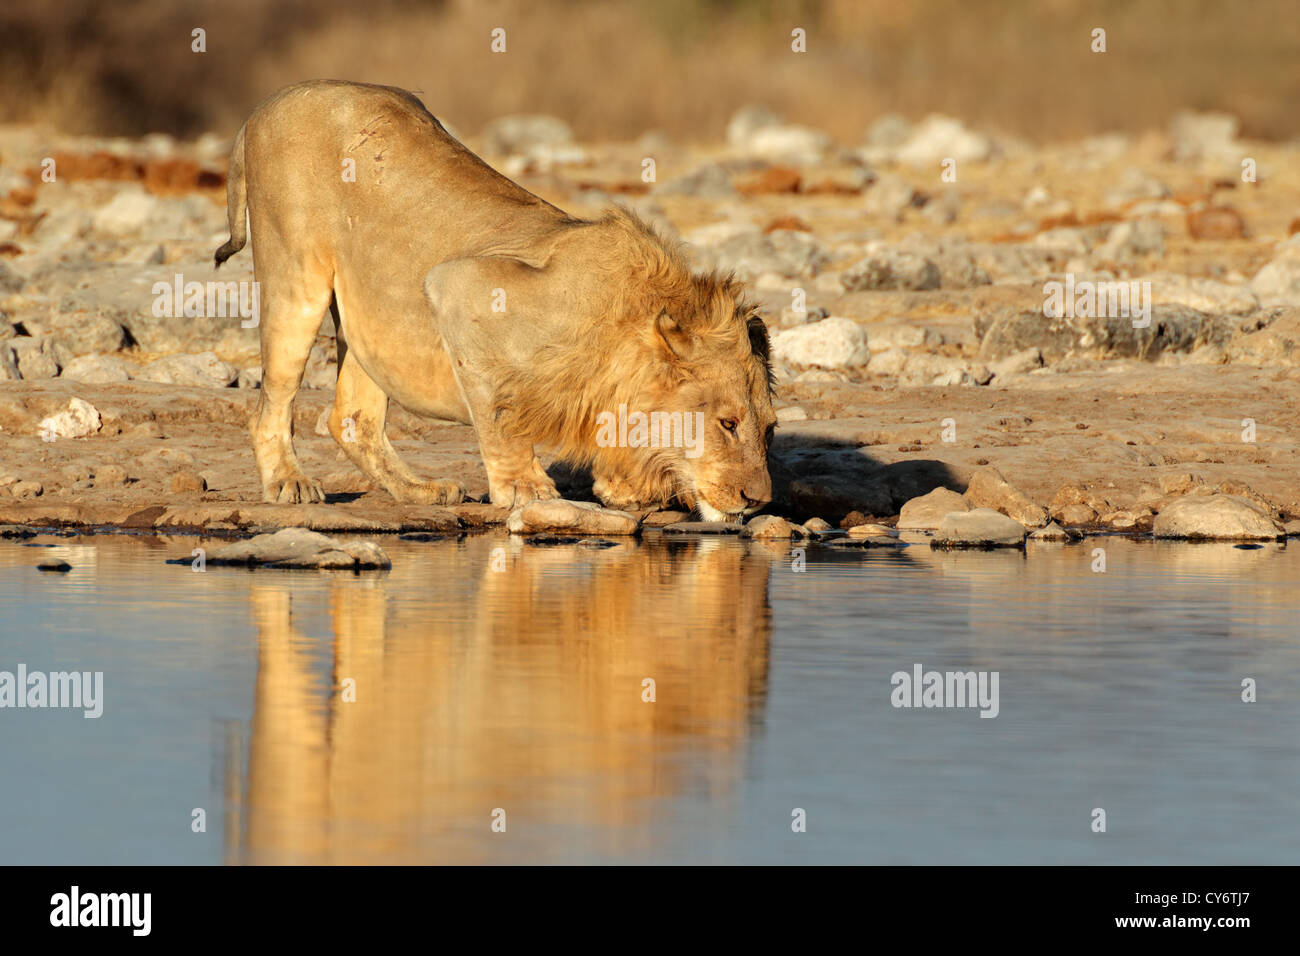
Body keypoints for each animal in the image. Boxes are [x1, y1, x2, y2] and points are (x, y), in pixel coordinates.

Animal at [218, 78, 774, 520]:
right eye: (727, 423)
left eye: (770, 430)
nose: (757, 501)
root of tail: (264, 105)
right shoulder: (459, 287)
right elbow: (500, 415)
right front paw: (526, 490)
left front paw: (623, 489)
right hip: (296, 280)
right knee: (272, 403)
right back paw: (288, 483)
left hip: (367, 317)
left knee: (352, 418)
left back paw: (420, 490)